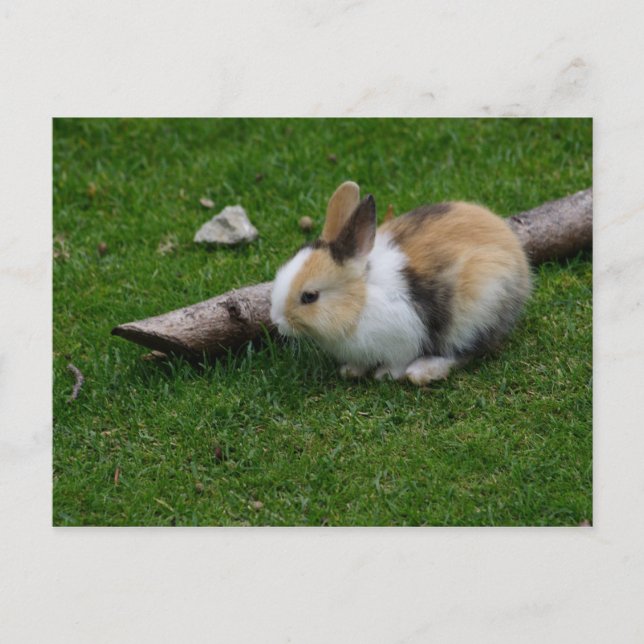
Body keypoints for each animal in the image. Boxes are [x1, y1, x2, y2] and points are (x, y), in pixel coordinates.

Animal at [270, 181, 531, 385]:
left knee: (466, 351)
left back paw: (423, 371)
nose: (278, 322)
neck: (360, 301)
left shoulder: (404, 339)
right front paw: (351, 370)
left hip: (477, 313)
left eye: (310, 296)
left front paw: (384, 374)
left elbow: (398, 361)